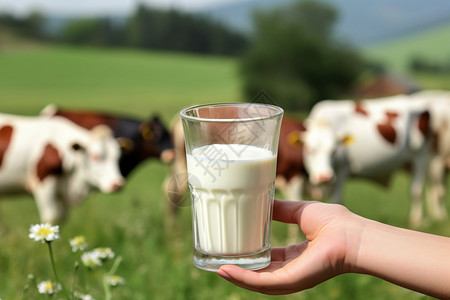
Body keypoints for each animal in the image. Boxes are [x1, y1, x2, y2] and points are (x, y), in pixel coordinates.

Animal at [300, 96, 430, 227]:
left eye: (334, 150)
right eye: (308, 149)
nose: (324, 177)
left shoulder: (342, 170)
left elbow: (337, 199)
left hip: (420, 155)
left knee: (416, 190)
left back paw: (416, 221)